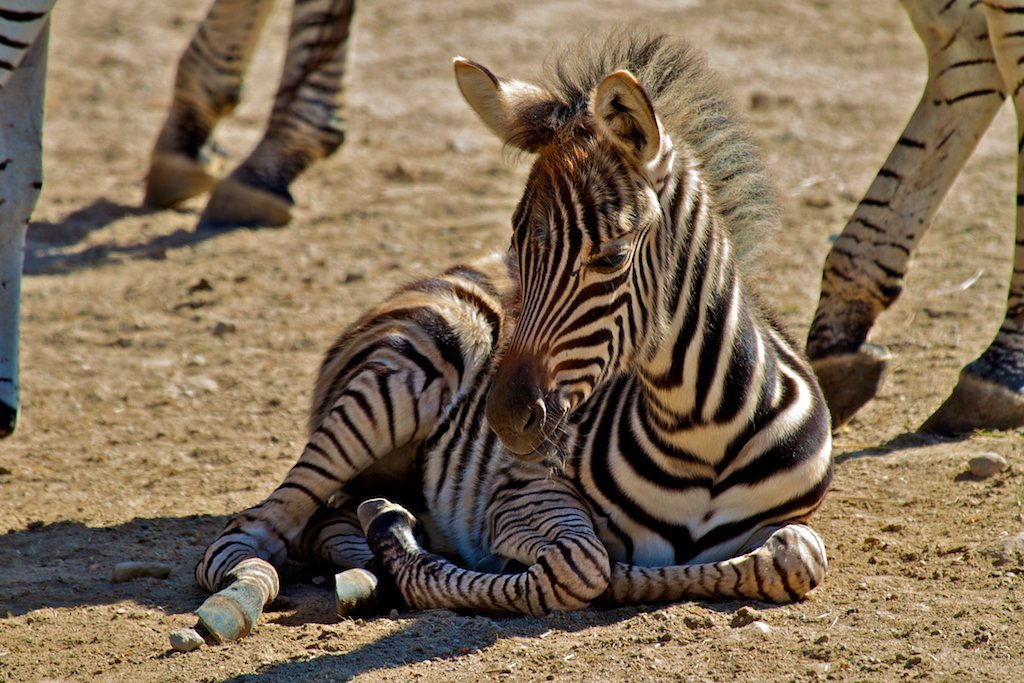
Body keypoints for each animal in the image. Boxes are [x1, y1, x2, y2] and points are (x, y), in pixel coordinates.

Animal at [188, 30, 835, 643]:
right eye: (518, 253)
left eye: (611, 258)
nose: (500, 421)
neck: (702, 435)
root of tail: (435, 278)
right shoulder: (517, 492)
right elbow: (584, 566)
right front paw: (413, 551)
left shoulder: (793, 524)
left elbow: (794, 558)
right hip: (408, 376)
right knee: (249, 533)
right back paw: (251, 590)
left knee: (326, 521)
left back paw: (362, 570)